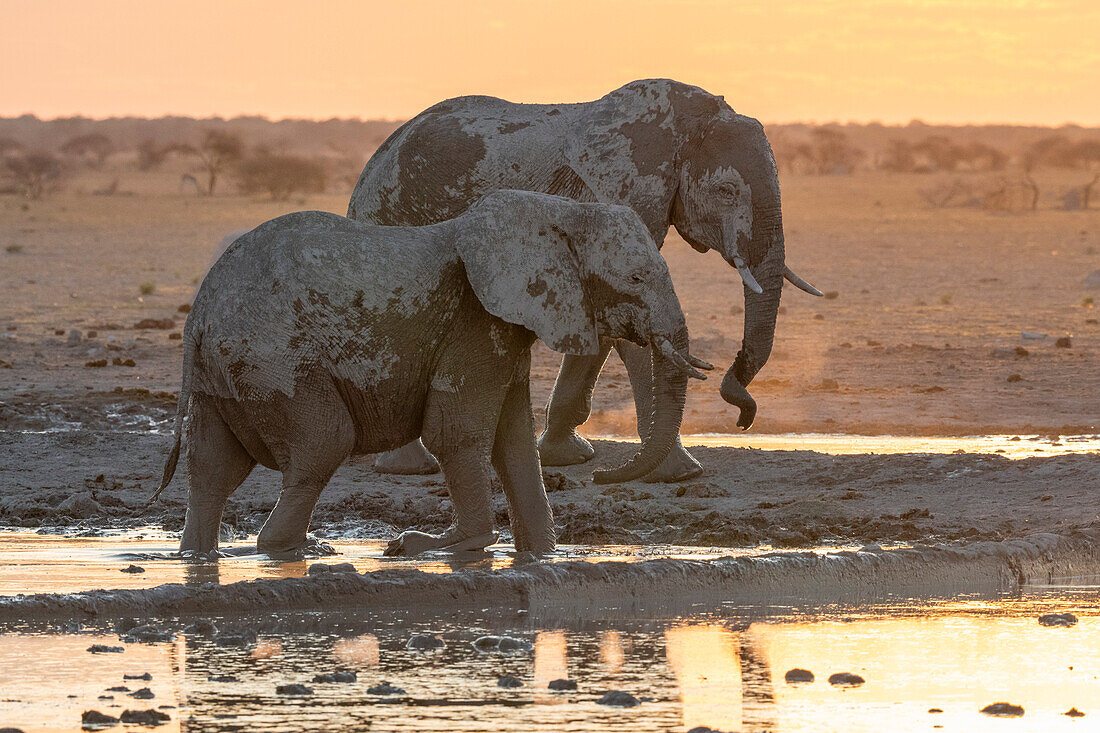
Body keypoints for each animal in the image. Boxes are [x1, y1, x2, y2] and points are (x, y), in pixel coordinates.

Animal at [152, 188, 704, 554]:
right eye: (637, 278)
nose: (602, 475)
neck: (559, 210)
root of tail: (199, 310)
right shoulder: (474, 320)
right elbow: (457, 433)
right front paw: (455, 544)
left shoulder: (503, 328)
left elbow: (513, 439)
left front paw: (542, 554)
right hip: (272, 360)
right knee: (324, 441)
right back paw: (293, 552)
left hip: (223, 372)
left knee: (212, 465)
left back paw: (199, 556)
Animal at [347, 79, 822, 482]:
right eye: (725, 191)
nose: (743, 414)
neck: (681, 123)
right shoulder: (608, 196)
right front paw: (678, 473)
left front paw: (566, 458)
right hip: (388, 221)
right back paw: (410, 468)